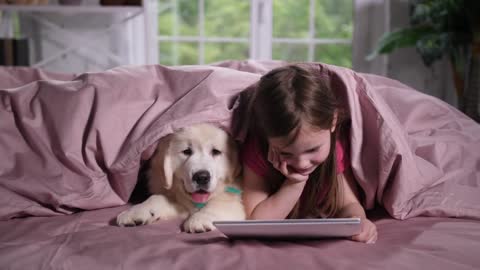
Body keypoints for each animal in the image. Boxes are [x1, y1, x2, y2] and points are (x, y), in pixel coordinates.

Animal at [115, 123, 244, 231]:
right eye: (186, 151)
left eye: (216, 151)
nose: (202, 177)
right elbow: (157, 198)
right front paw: (136, 211)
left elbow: (220, 204)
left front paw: (200, 218)